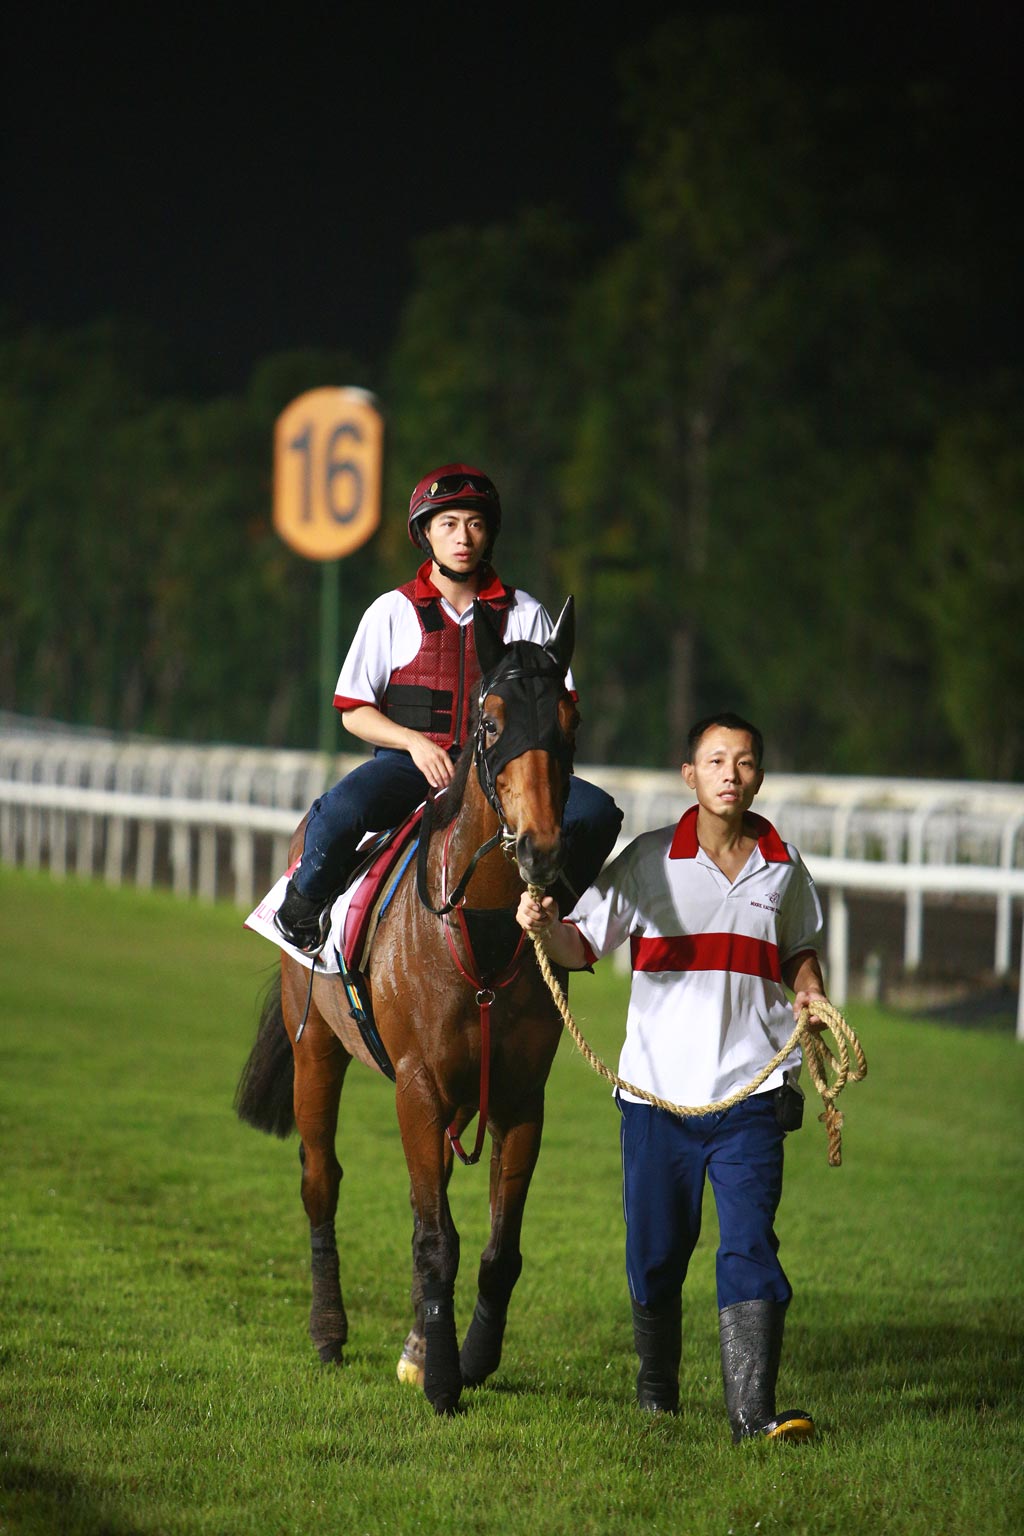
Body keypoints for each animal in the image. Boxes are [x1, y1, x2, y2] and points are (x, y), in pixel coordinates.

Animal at [236, 592, 580, 1406]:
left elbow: (497, 1247)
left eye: (568, 721)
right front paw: (444, 1381)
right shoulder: (417, 1086)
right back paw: (329, 1333)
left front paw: (466, 1355)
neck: (482, 932)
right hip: (315, 1048)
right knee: (320, 1180)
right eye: (491, 723)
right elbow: (435, 1238)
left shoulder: (520, 1094)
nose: (542, 849)